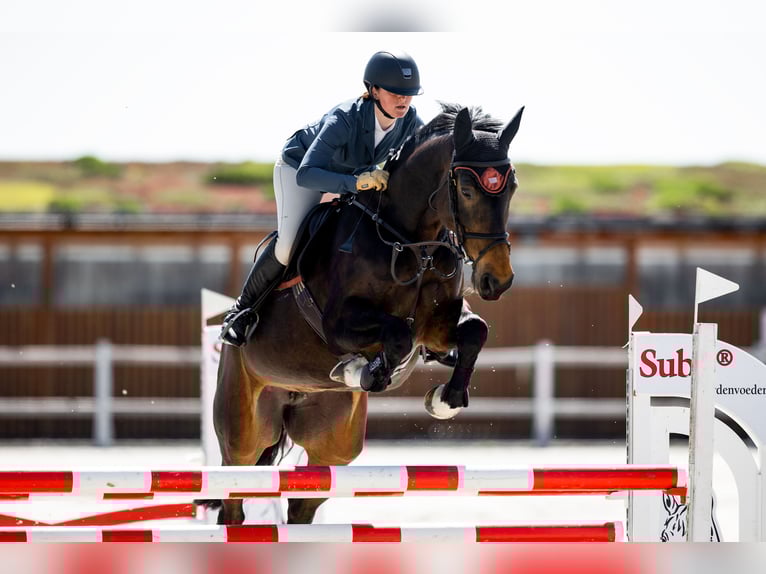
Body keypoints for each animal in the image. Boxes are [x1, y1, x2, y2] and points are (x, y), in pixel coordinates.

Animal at [211, 102, 524, 525]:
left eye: (512, 187)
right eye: (468, 190)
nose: (497, 280)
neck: (409, 242)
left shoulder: (437, 327)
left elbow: (475, 330)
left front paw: (446, 398)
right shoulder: (338, 325)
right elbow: (397, 336)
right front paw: (362, 371)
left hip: (332, 445)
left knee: (303, 504)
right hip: (243, 432)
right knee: (234, 494)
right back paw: (239, 323)